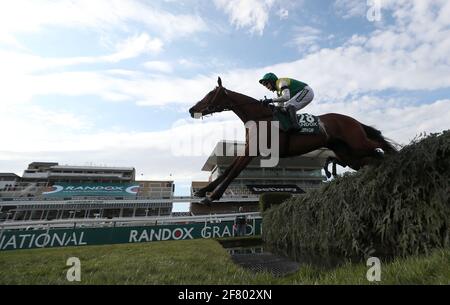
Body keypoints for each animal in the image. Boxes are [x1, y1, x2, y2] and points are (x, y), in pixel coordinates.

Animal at [190, 76, 398, 204]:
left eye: (210, 95)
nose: (192, 109)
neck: (260, 117)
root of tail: (352, 120)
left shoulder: (253, 151)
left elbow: (233, 172)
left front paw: (212, 196)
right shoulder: (249, 148)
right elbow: (227, 171)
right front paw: (203, 191)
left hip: (357, 144)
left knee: (379, 144)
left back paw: (398, 156)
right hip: (350, 155)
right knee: (372, 158)